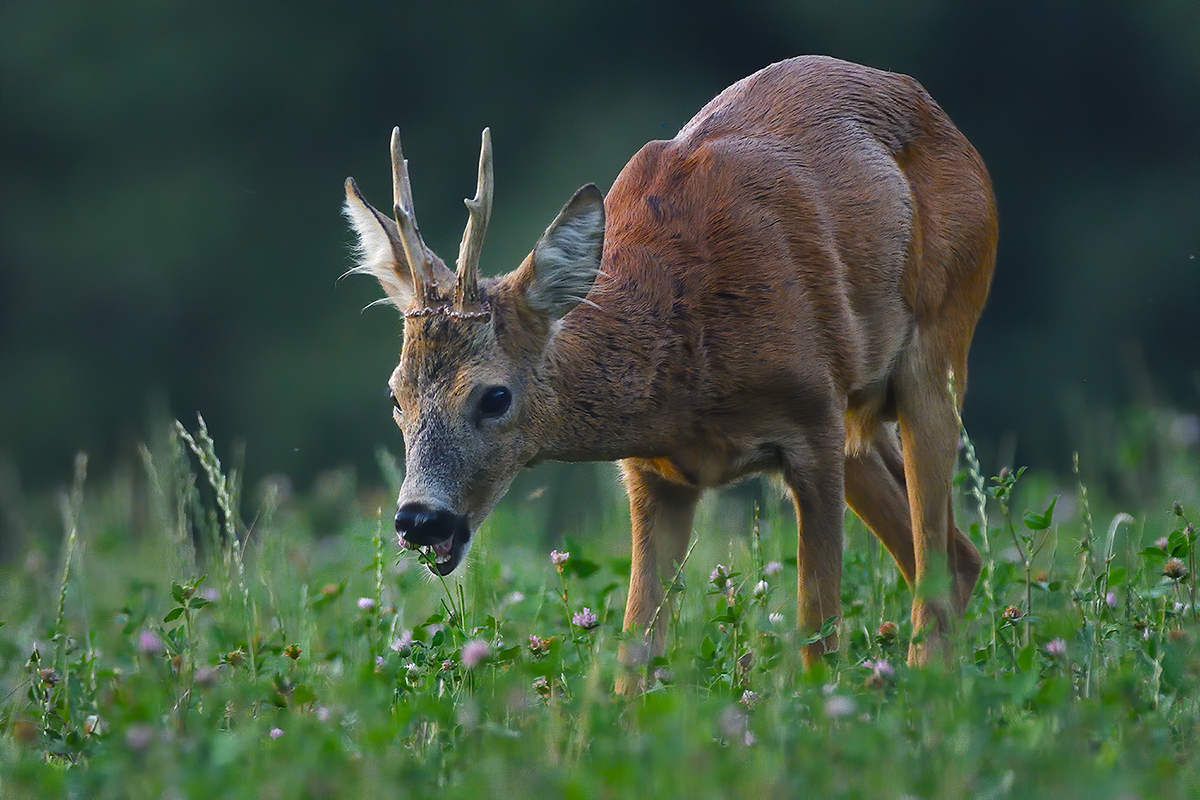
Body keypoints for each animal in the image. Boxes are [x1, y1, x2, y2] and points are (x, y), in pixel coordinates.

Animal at [345, 54, 993, 690]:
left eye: (494, 396)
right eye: (395, 395)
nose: (419, 518)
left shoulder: (812, 428)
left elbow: (818, 638)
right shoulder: (654, 474)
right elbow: (635, 659)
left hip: (937, 345)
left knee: (935, 563)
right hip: (856, 415)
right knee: (955, 558)